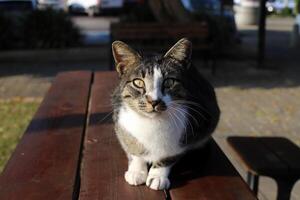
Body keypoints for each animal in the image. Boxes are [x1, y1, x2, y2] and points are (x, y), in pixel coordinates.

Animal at [111, 38, 219, 191]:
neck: (151, 123)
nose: (154, 101)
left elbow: (169, 155)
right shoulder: (121, 122)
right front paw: (137, 171)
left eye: (169, 82)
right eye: (138, 82)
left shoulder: (192, 129)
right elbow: (132, 145)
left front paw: (157, 176)